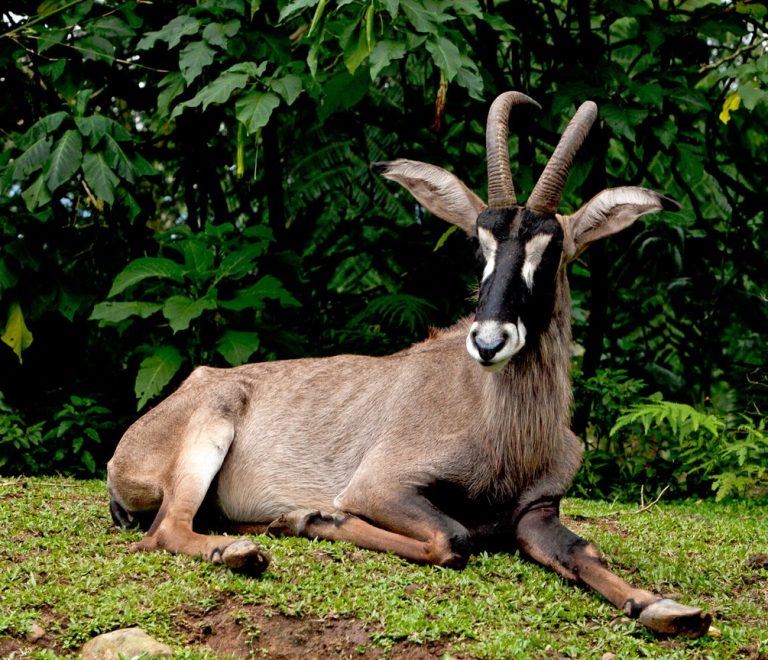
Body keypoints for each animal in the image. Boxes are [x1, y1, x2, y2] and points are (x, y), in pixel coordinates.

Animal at [107, 91, 712, 637]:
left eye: (552, 251)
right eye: (479, 247)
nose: (488, 342)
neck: (505, 431)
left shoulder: (538, 512)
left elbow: (584, 552)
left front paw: (665, 608)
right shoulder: (380, 486)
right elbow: (453, 539)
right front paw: (316, 516)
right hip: (206, 439)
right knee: (165, 532)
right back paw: (241, 550)